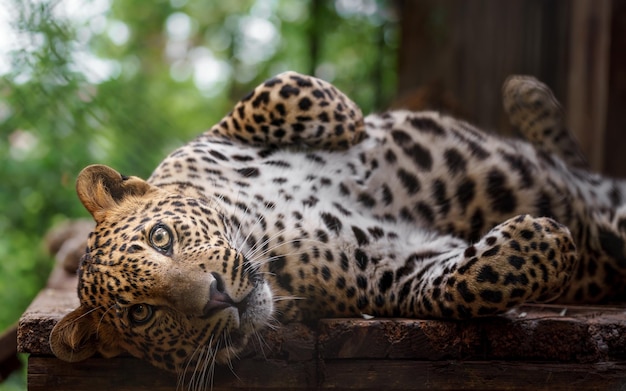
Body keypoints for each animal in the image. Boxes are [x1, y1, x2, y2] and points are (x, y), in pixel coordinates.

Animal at [51, 71, 624, 382]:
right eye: (142, 314)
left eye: (161, 238)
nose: (215, 296)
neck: (263, 227)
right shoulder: (389, 271)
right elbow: (462, 284)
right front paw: (546, 239)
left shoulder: (217, 136)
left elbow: (281, 88)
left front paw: (354, 121)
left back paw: (527, 95)